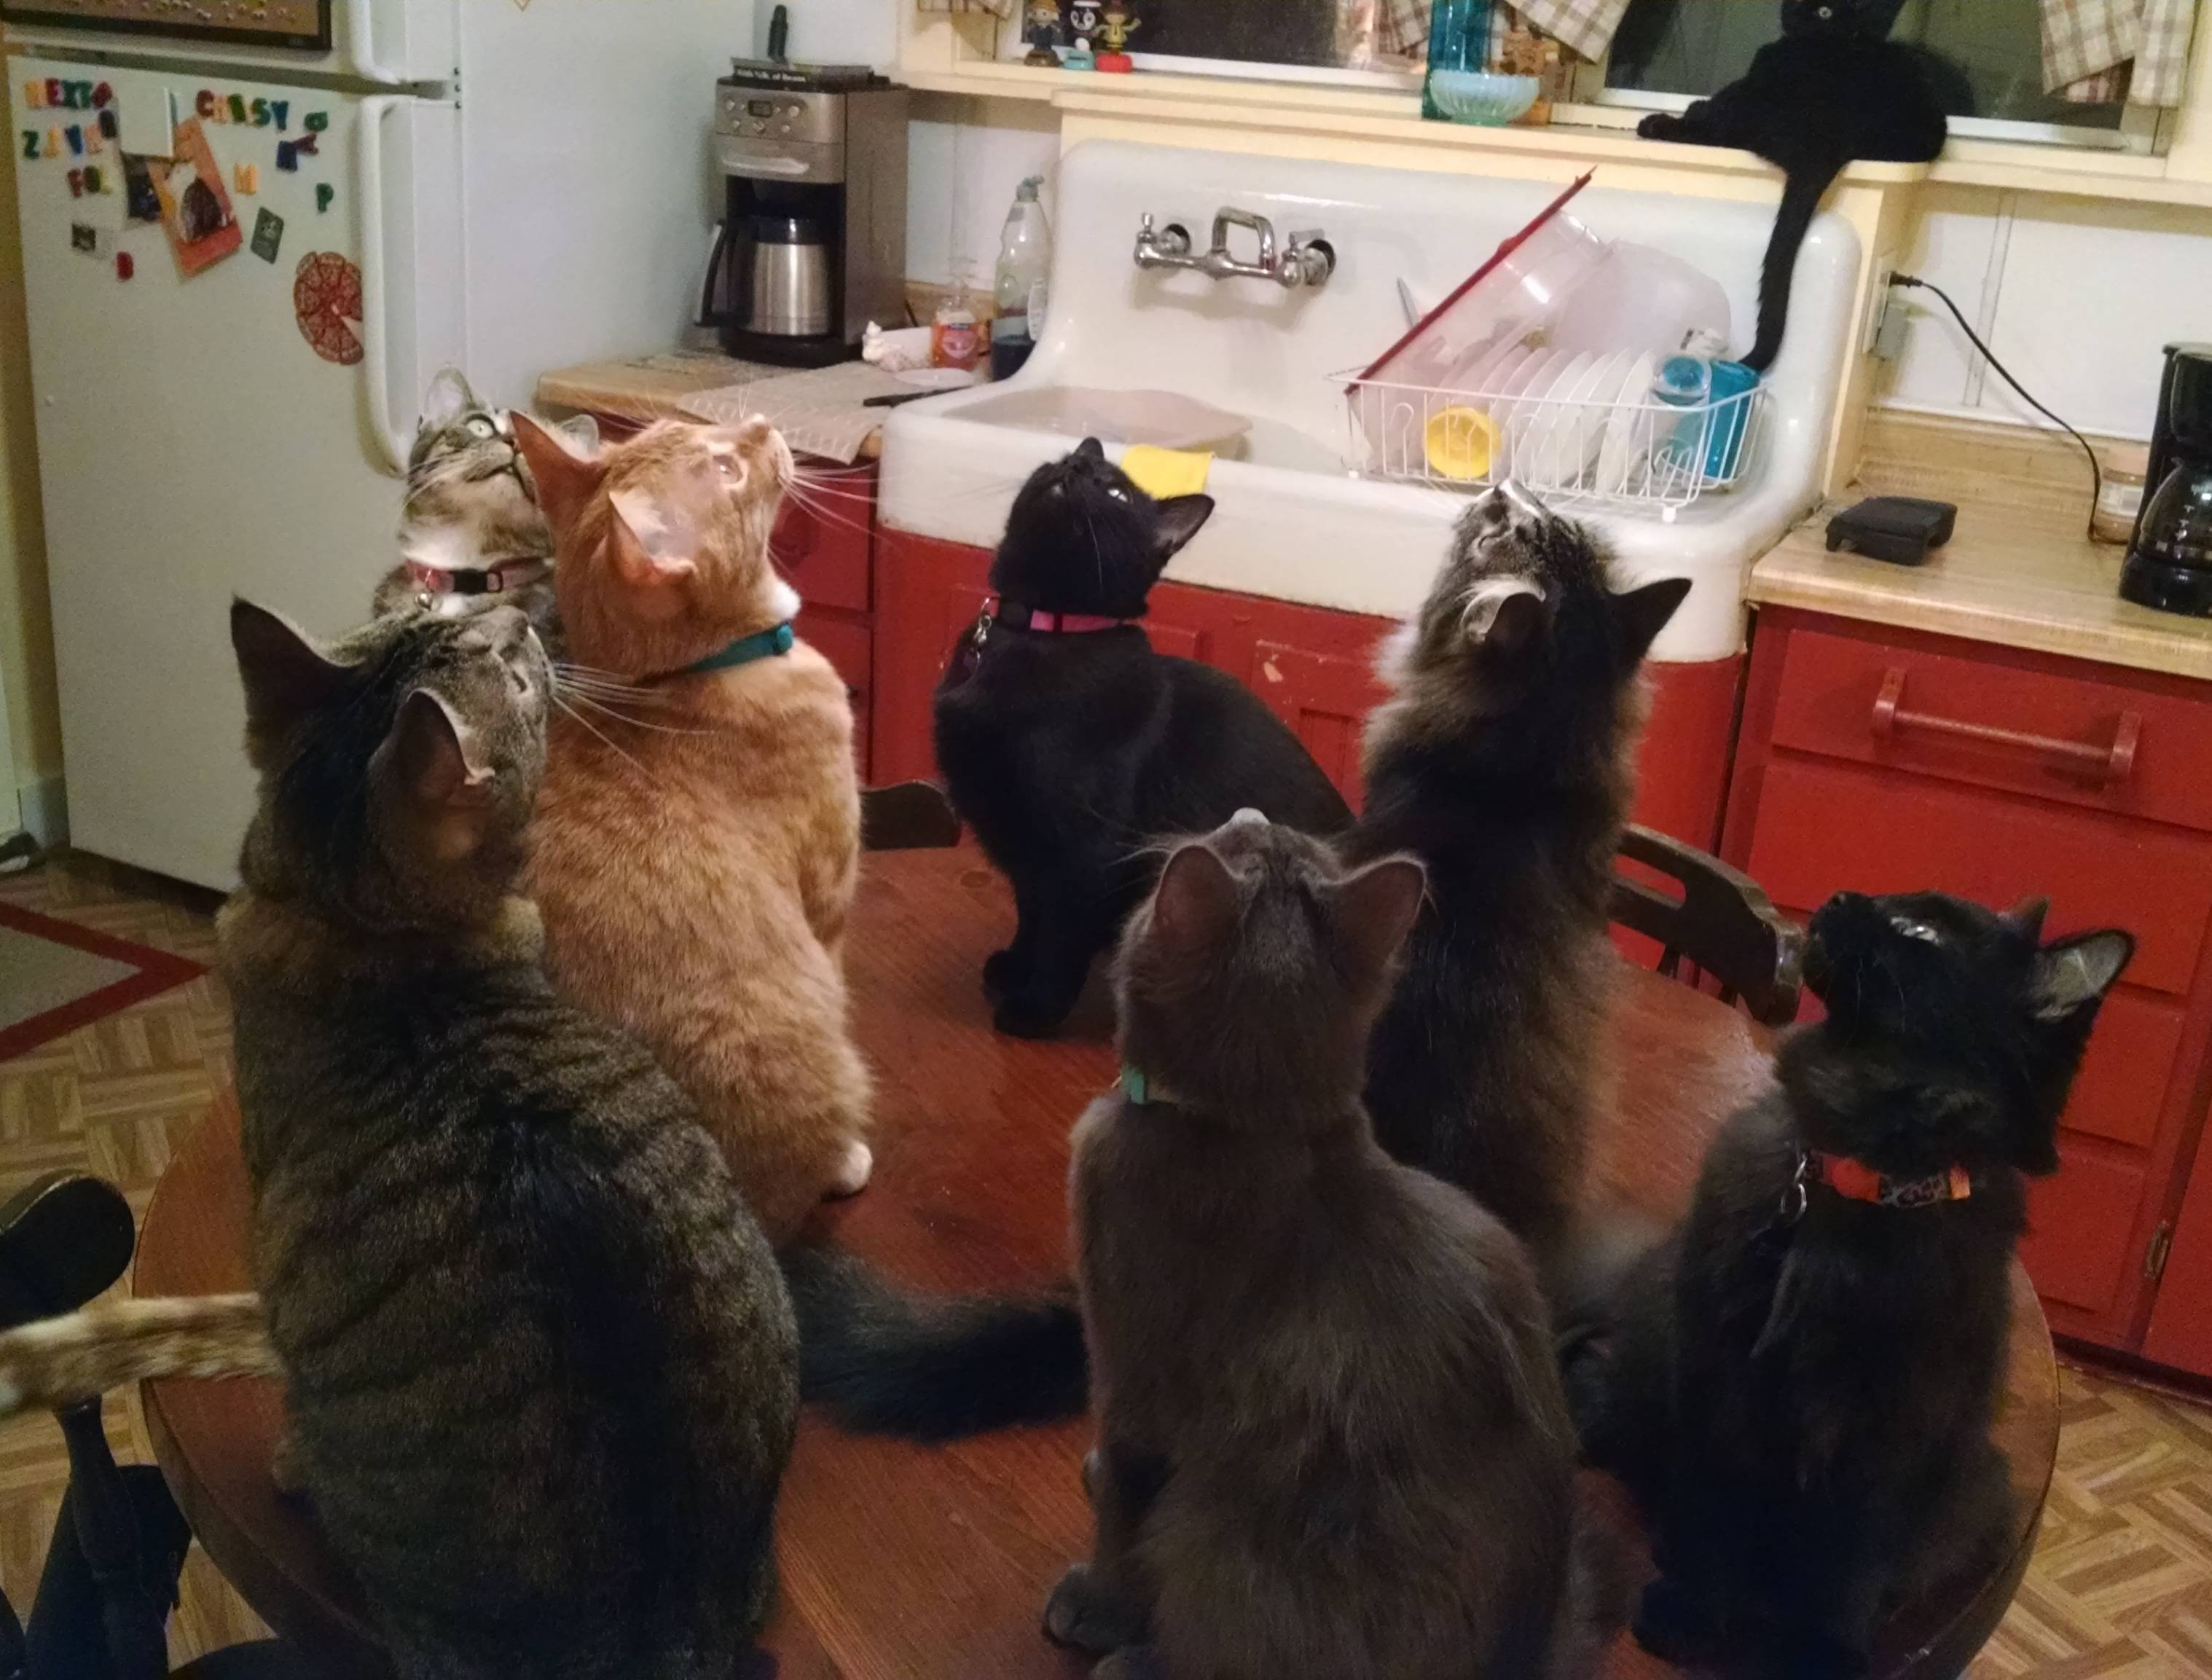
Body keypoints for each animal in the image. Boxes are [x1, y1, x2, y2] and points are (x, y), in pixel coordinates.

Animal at [936, 438, 1354, 1039]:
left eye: (1115, 494)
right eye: (1063, 459)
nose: (1077, 465)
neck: (1040, 631)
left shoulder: (1084, 854)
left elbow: (1060, 934)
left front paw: (1035, 1008)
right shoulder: (1023, 844)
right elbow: (1029, 911)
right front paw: (1014, 966)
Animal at [1044, 810, 1620, 1680]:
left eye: (1244, 837)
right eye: (1276, 838)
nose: (1250, 813)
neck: (1248, 1128)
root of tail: (1520, 1656)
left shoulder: (1133, 1381)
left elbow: (1122, 1504)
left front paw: (1095, 1601)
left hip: (1229, 1538)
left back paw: (1138, 1660)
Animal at [1564, 889, 2131, 1678]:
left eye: (1923, 932)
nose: (1838, 900)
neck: (1856, 1180)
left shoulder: (1893, 1431)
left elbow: (1851, 1571)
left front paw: (1822, 1653)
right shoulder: (1723, 1381)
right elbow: (1714, 1513)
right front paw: (1689, 1609)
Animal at [1636, 0, 1946, 372]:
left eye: (1825, 12)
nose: (1798, 8)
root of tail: (1833, 132)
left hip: (1754, 93)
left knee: (1715, 130)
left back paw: (1660, 123)